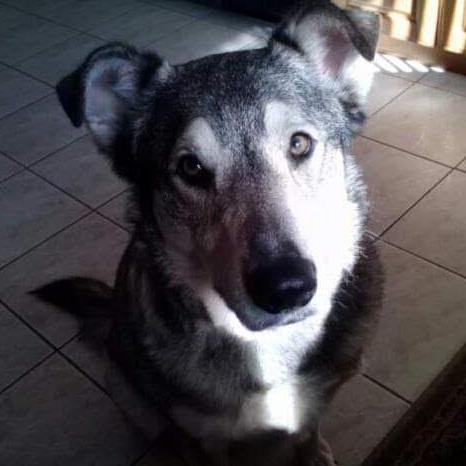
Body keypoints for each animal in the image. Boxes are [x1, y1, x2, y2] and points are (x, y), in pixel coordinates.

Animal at [34, 1, 383, 464]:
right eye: (191, 168)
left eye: (299, 144)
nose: (286, 287)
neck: (264, 346)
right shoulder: (200, 435)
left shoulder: (319, 398)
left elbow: (308, 431)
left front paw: (314, 452)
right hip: (123, 386)